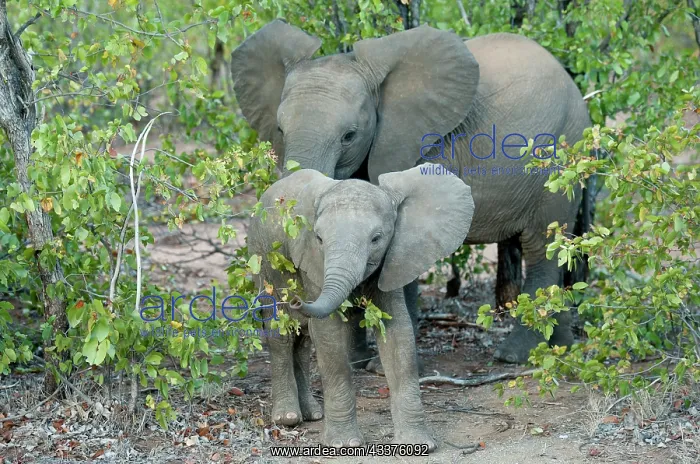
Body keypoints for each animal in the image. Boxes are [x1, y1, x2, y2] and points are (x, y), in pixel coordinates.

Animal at [231, 19, 591, 364]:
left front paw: (379, 365)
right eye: (279, 129)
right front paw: (357, 363)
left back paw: (513, 355)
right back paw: (562, 347)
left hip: (559, 160)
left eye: (349, 136)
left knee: (542, 247)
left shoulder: (421, 144)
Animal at [247, 164, 475, 448]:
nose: (297, 299)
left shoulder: (393, 257)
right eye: (319, 238)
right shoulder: (312, 261)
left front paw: (418, 444)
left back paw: (312, 414)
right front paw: (344, 445)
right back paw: (287, 418)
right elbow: (328, 334)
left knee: (303, 336)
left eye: (376, 239)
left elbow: (398, 331)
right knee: (281, 333)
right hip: (262, 258)